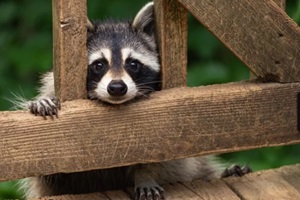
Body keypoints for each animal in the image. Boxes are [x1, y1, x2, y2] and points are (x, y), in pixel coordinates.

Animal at [18, 1, 251, 200]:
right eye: (99, 64)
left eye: (132, 64)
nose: (117, 88)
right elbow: (55, 167)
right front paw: (43, 102)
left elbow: (166, 156)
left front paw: (145, 174)